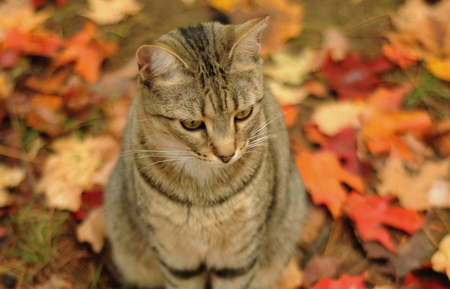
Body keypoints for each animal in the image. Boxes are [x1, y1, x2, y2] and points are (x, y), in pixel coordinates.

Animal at [104, 16, 308, 288]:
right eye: (192, 124)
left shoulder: (238, 256)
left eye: (243, 114)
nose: (227, 154)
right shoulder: (175, 257)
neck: (203, 193)